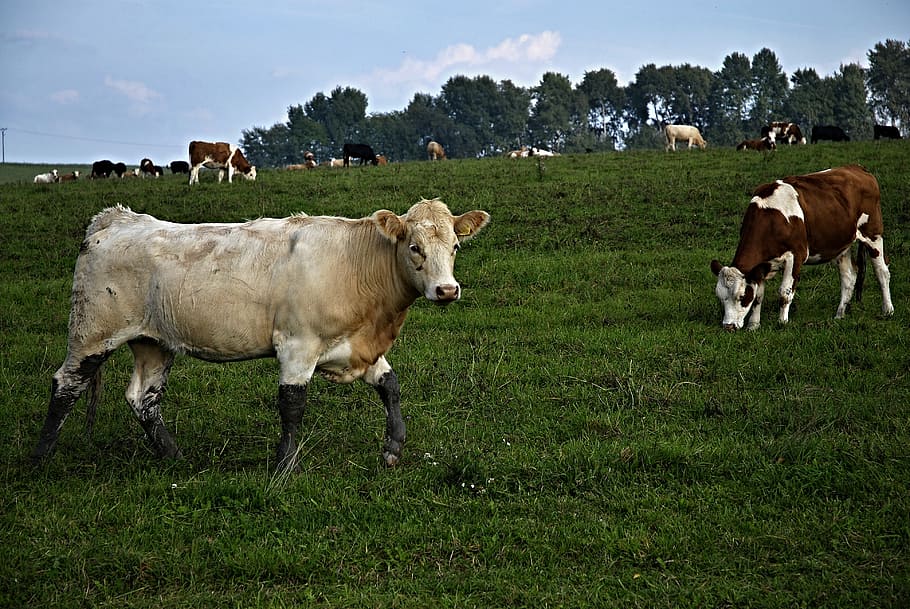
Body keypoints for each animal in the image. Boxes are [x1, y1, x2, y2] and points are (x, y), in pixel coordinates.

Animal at [30, 198, 490, 473]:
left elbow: (390, 386)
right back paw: (40, 457)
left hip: (154, 342)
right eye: (414, 247)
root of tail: (116, 219)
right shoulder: (297, 345)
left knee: (143, 398)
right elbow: (292, 405)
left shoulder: (358, 347)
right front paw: (285, 465)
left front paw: (393, 447)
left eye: (455, 247)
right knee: (66, 385)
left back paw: (175, 457)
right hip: (91, 332)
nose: (447, 290)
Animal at [710, 165, 893, 331]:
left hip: (874, 235)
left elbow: (784, 293)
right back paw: (839, 315)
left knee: (882, 272)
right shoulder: (761, 266)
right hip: (841, 243)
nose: (728, 326)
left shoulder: (795, 256)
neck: (771, 220)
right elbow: (758, 296)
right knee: (849, 277)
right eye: (720, 297)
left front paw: (782, 322)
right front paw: (753, 326)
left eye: (741, 296)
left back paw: (887, 310)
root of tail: (859, 169)